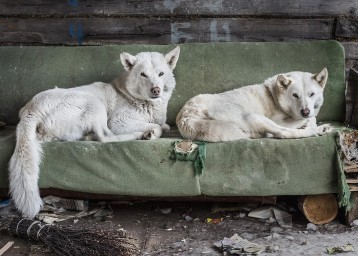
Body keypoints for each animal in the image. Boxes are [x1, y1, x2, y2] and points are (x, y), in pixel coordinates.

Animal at [9, 46, 180, 218]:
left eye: (161, 74)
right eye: (143, 74)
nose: (156, 90)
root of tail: (30, 110)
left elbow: (164, 125)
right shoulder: (119, 122)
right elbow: (158, 127)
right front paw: (150, 132)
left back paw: (89, 136)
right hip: (94, 103)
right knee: (106, 137)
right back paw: (139, 135)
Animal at [176, 68, 330, 142]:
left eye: (312, 94)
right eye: (295, 95)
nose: (305, 111)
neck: (274, 95)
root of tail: (186, 117)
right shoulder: (280, 121)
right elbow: (309, 119)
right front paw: (310, 123)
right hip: (253, 117)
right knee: (283, 133)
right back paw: (316, 130)